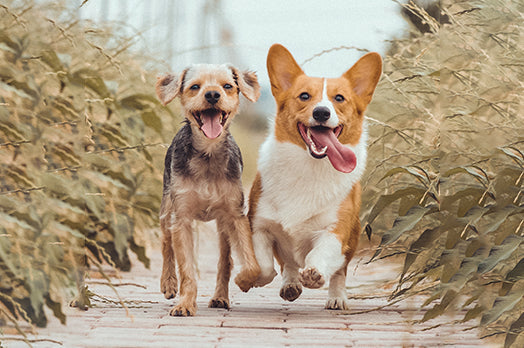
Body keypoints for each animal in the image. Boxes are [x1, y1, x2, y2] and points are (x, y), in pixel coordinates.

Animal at [156, 64, 262, 316]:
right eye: (195, 86)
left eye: (228, 86)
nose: (212, 95)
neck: (208, 153)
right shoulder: (181, 218)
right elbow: (186, 269)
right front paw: (185, 303)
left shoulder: (235, 215)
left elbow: (251, 263)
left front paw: (245, 280)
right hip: (166, 208)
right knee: (166, 243)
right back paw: (168, 283)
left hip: (222, 226)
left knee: (225, 260)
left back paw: (220, 297)